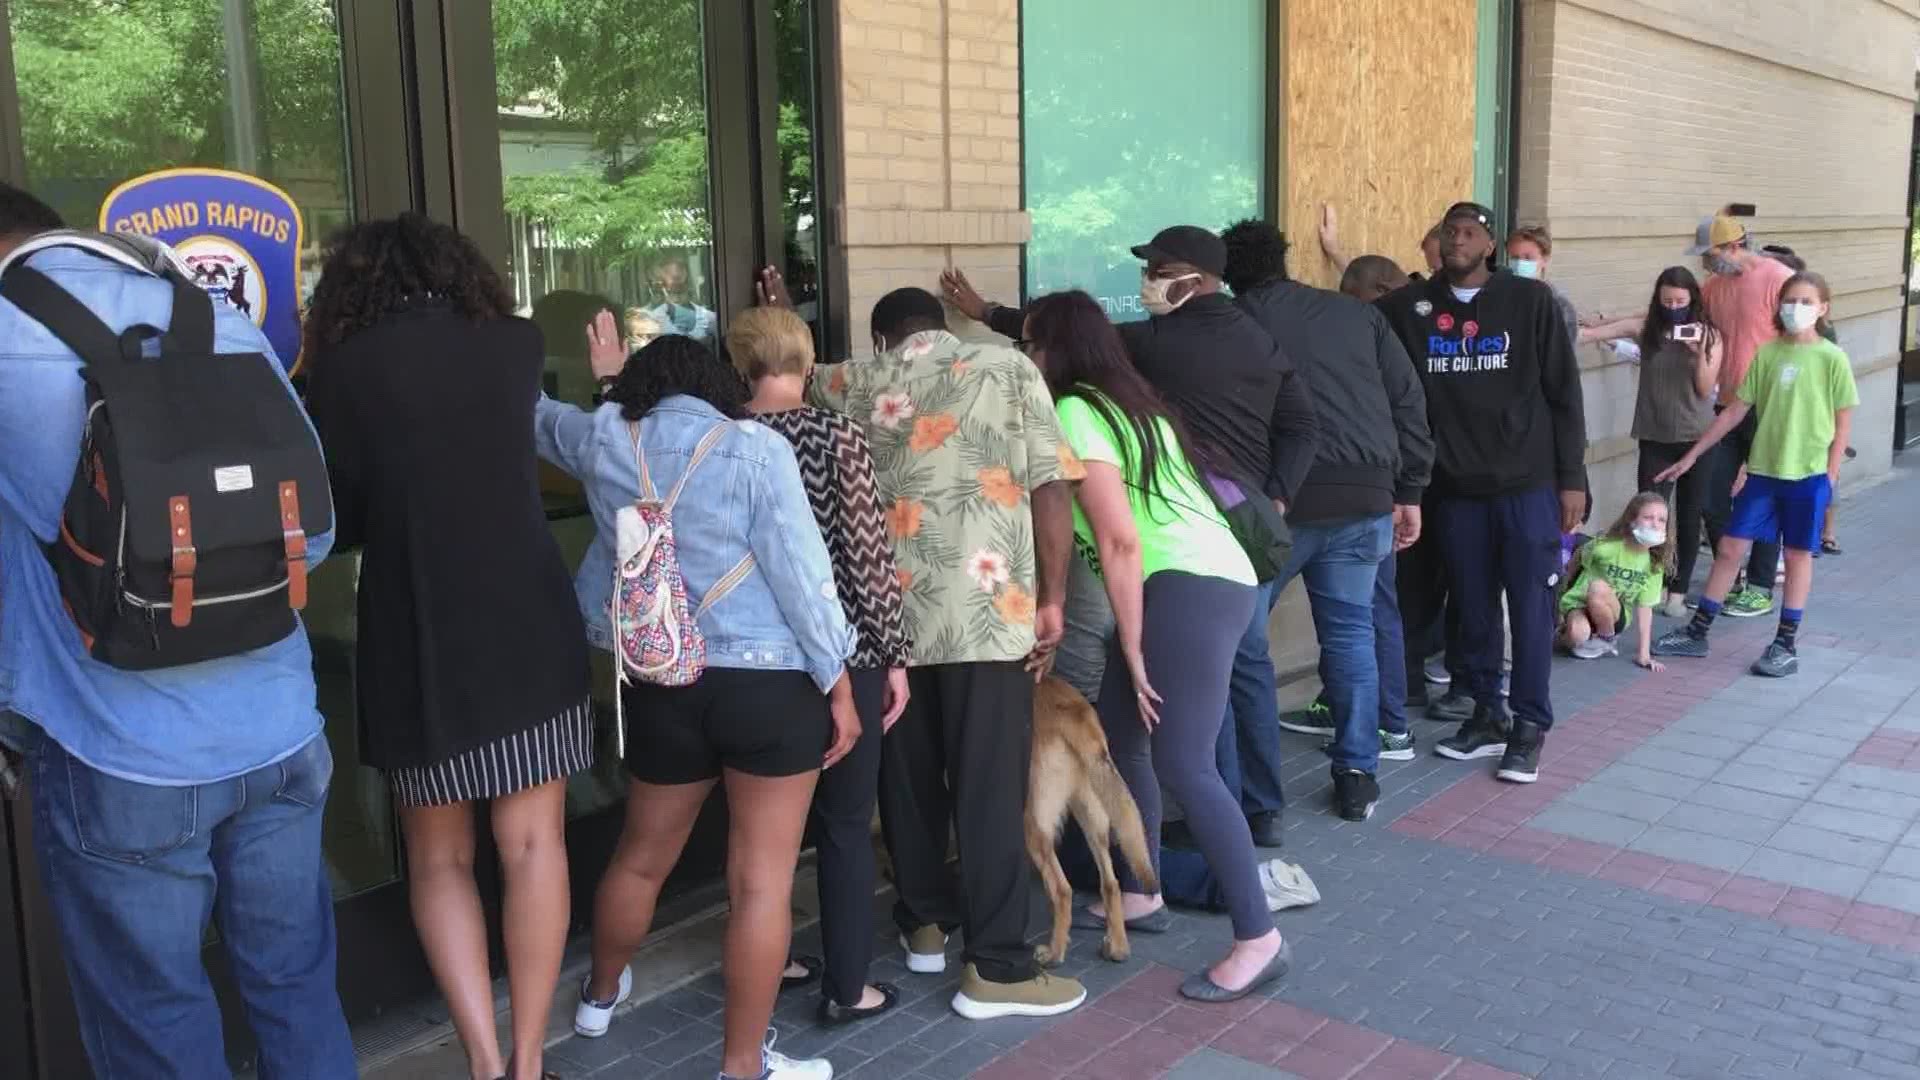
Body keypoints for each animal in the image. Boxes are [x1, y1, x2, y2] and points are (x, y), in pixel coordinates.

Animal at [1029, 676, 1159, 960]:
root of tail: (1073, 713)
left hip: (1035, 824)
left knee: (1062, 890)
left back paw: (1054, 953)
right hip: (1093, 817)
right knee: (1110, 883)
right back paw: (1117, 947)